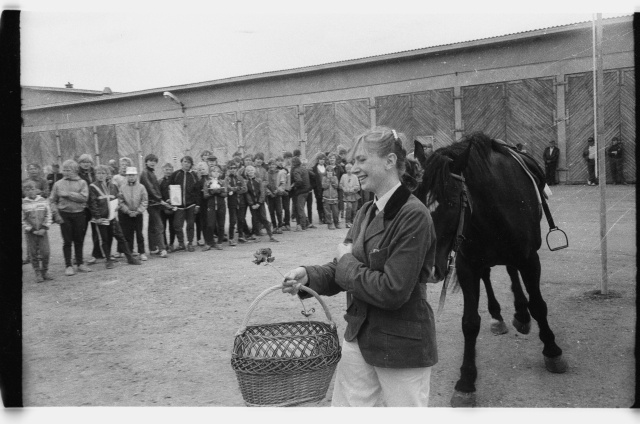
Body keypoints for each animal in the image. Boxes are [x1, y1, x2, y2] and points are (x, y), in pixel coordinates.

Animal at [412, 132, 568, 408]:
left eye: (451, 203)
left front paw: (552, 350)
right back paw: (500, 316)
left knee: (512, 272)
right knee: (491, 276)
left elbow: (539, 305)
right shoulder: (466, 265)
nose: (428, 269)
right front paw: (466, 383)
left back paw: (521, 314)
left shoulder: (530, 259)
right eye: (417, 199)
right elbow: (470, 322)